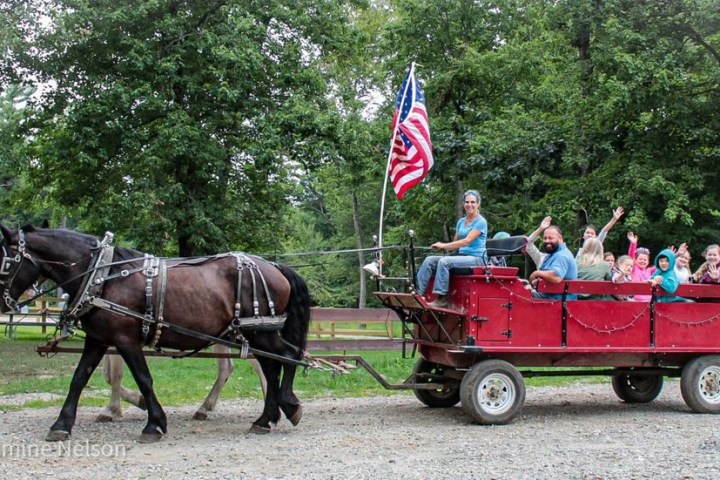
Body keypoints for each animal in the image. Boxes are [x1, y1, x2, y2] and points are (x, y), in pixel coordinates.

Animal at [98, 346, 267, 422]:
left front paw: (111, 410)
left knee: (260, 363)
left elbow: (115, 375)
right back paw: (205, 407)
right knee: (226, 368)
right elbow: (107, 376)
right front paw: (139, 400)